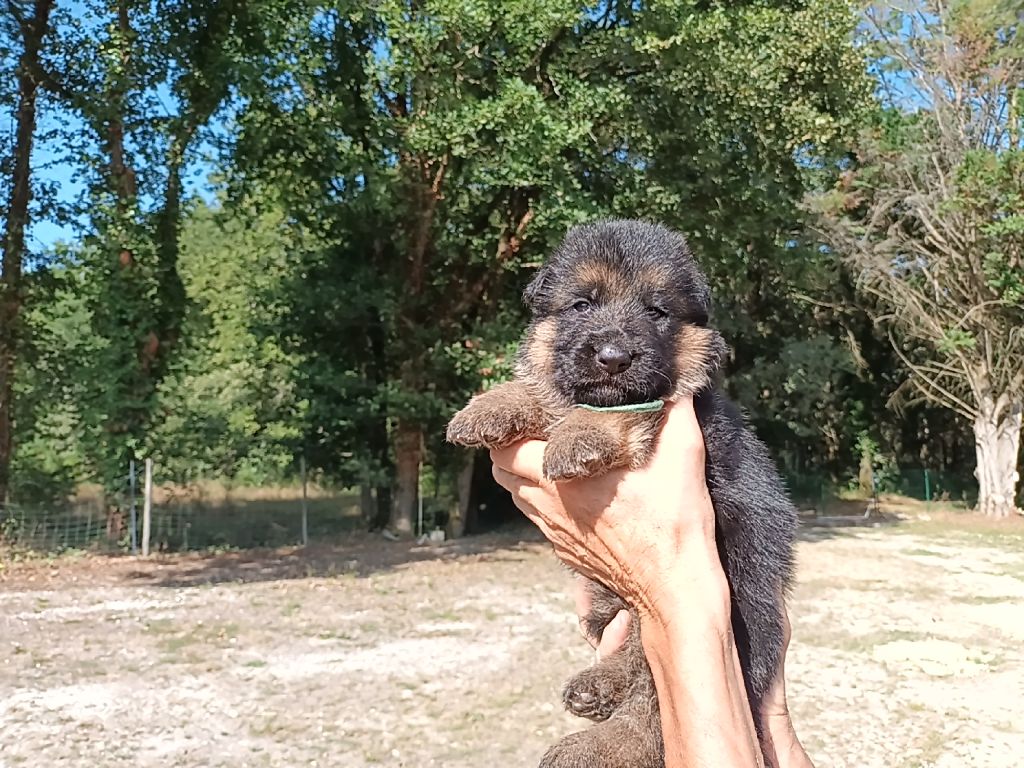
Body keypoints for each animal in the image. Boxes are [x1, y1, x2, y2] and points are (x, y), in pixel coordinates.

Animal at [444, 221, 794, 768]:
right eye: (581, 304)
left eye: (656, 312)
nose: (613, 358)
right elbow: (547, 389)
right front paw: (490, 406)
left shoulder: (682, 411)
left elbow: (628, 407)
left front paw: (580, 436)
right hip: (611, 605)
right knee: (631, 652)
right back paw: (596, 685)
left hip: (738, 612)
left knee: (651, 708)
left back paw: (596, 745)